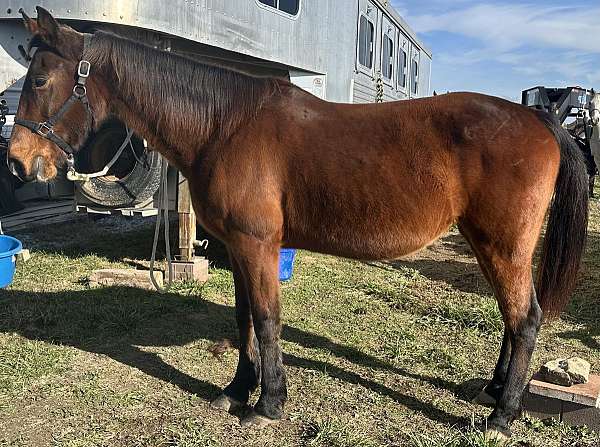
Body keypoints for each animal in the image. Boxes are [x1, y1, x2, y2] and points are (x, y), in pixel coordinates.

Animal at [7, 7, 588, 440]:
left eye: (40, 79)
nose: (17, 163)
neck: (224, 125)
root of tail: (540, 120)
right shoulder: (238, 246)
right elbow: (242, 318)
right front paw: (237, 390)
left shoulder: (257, 245)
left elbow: (266, 320)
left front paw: (268, 404)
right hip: (488, 243)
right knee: (513, 320)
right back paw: (494, 391)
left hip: (502, 244)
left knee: (526, 318)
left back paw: (502, 414)